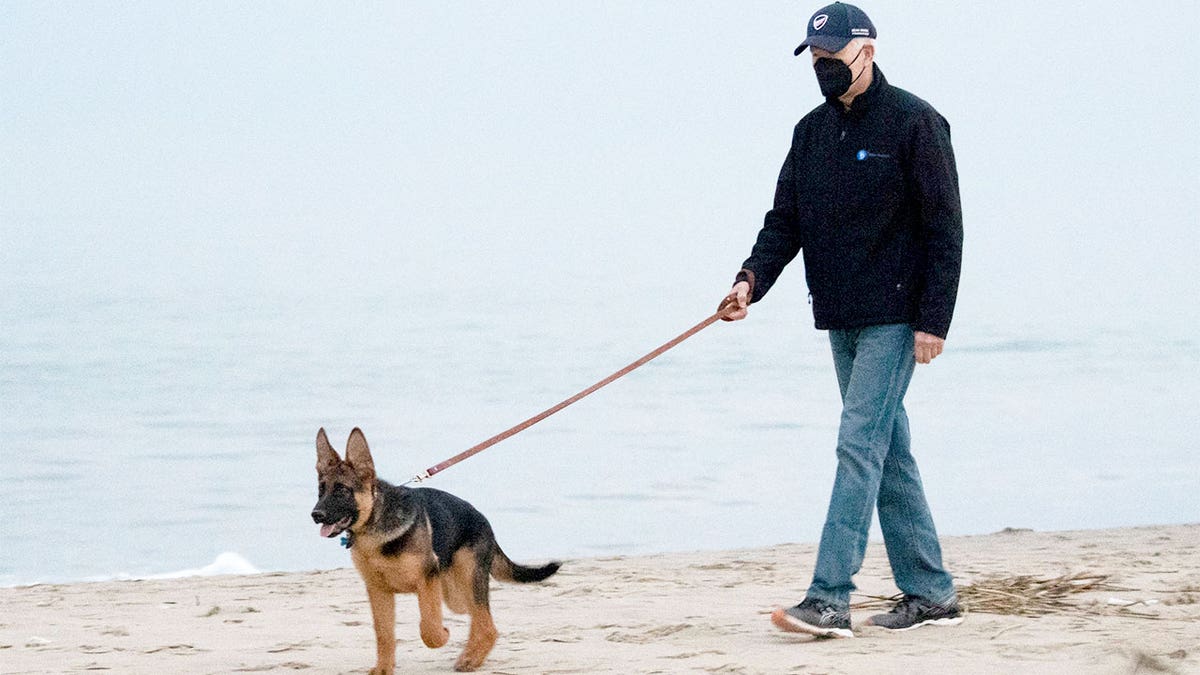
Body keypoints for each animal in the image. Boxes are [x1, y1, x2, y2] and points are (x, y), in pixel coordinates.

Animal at [304, 427, 556, 667]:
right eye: (321, 490)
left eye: (342, 490)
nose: (316, 515)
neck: (376, 525)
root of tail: (484, 521)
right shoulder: (379, 591)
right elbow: (384, 636)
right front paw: (383, 669)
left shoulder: (426, 581)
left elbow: (430, 627)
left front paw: (442, 635)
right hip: (454, 594)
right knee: (478, 617)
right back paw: (472, 655)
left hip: (465, 580)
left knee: (486, 623)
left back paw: (470, 659)